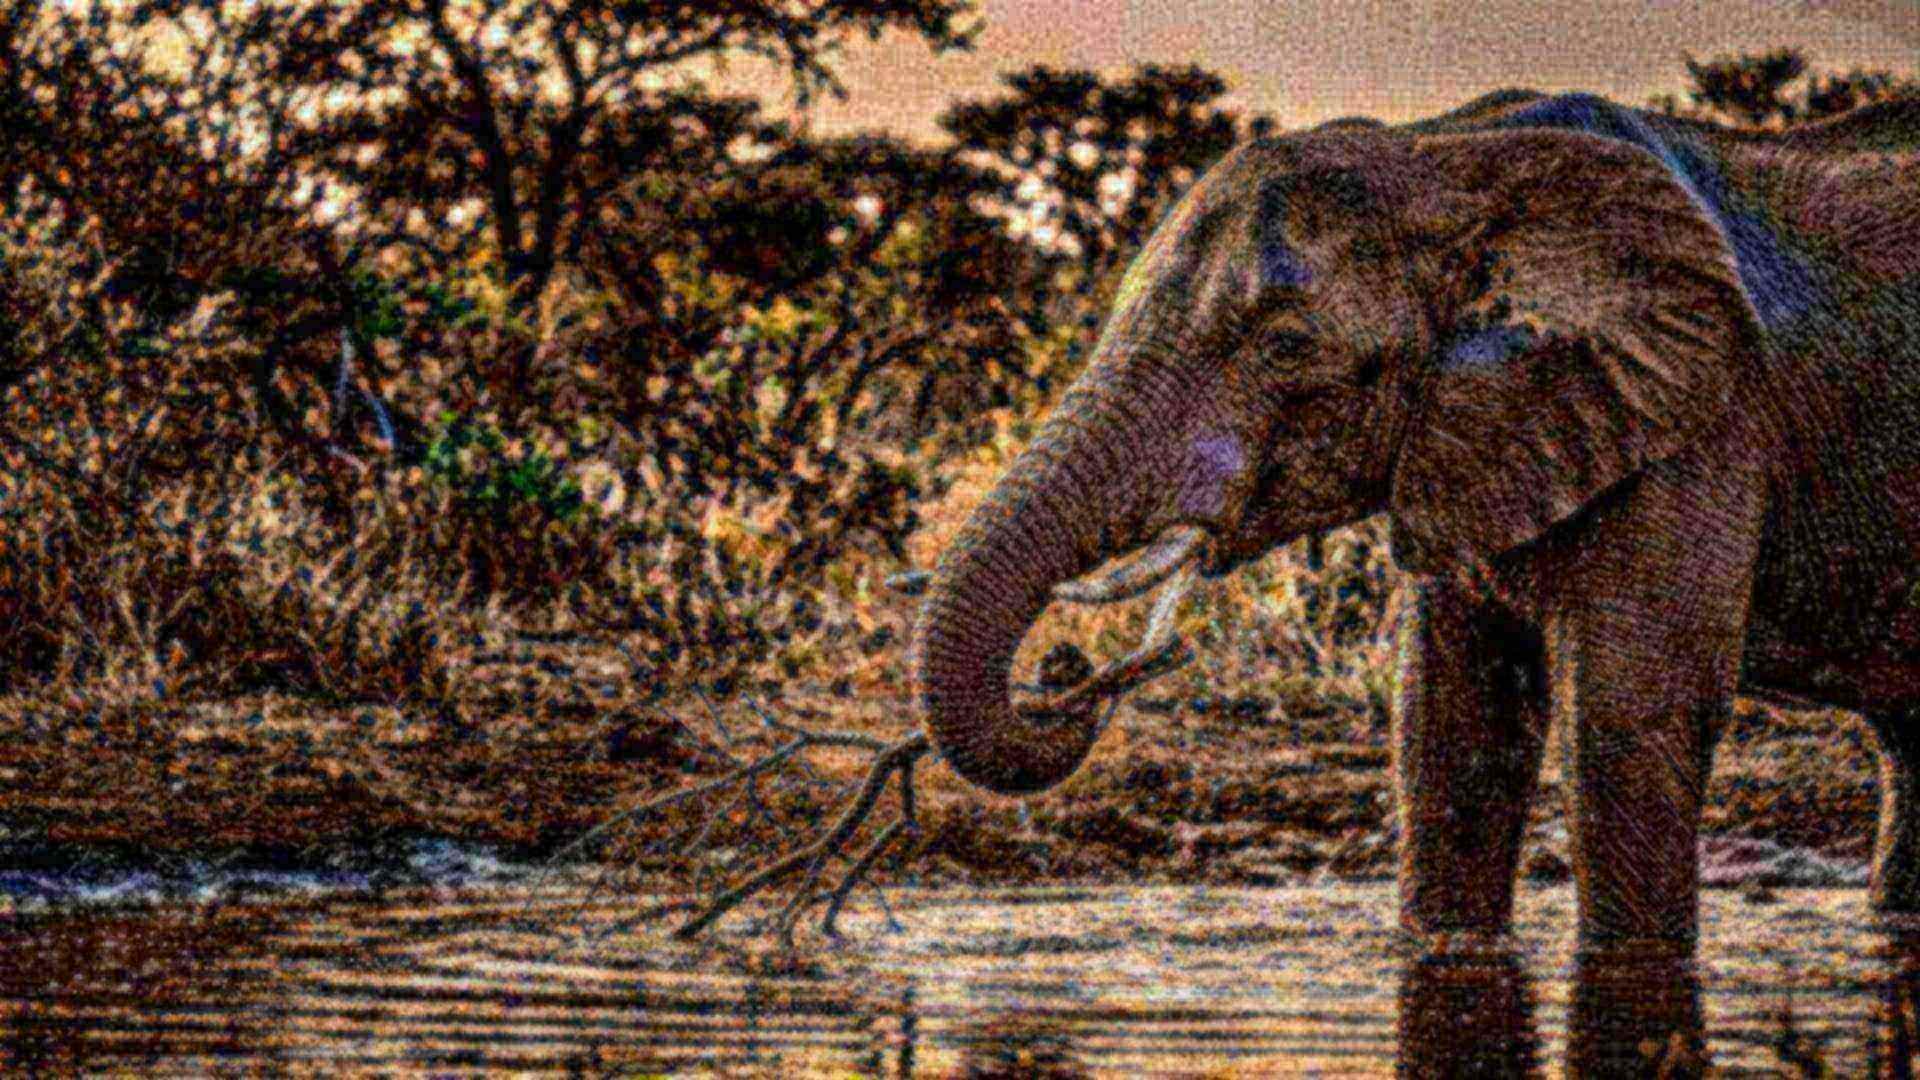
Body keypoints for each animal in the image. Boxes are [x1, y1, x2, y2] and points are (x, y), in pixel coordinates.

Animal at [908, 87, 1920, 949]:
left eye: (1287, 348)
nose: (1068, 677)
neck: (1439, 155)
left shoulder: (1698, 416)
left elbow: (1629, 713)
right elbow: (1449, 723)